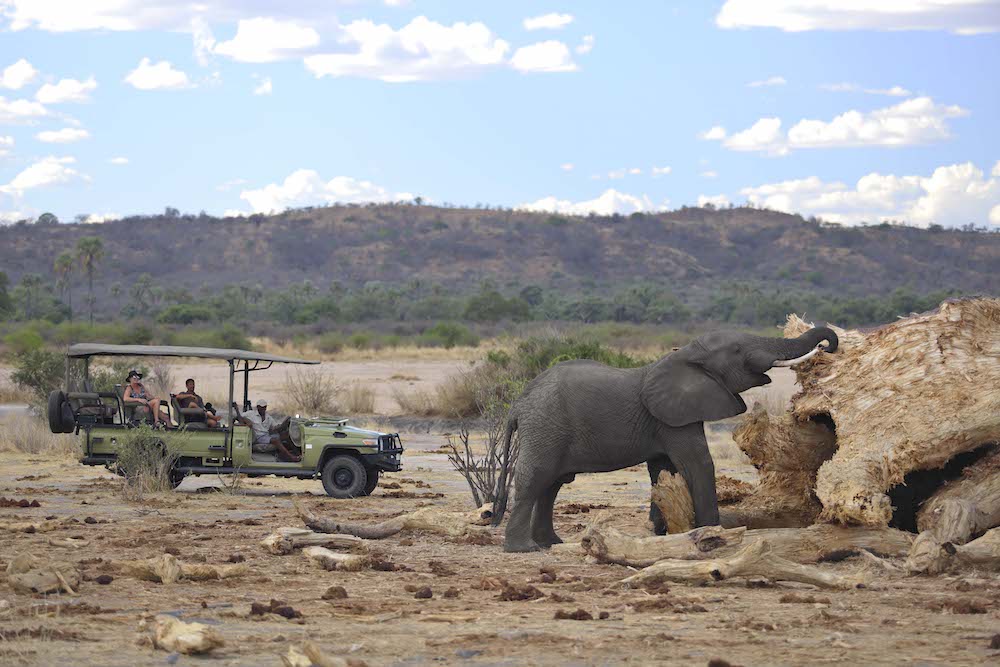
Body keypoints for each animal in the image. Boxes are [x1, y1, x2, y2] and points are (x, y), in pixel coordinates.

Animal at [497, 326, 839, 552]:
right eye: (738, 351)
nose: (827, 345)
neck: (685, 354)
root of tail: (518, 403)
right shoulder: (674, 418)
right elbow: (697, 463)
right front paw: (711, 535)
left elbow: (662, 470)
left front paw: (662, 534)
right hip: (545, 427)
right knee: (536, 479)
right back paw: (523, 549)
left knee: (551, 485)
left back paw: (550, 544)